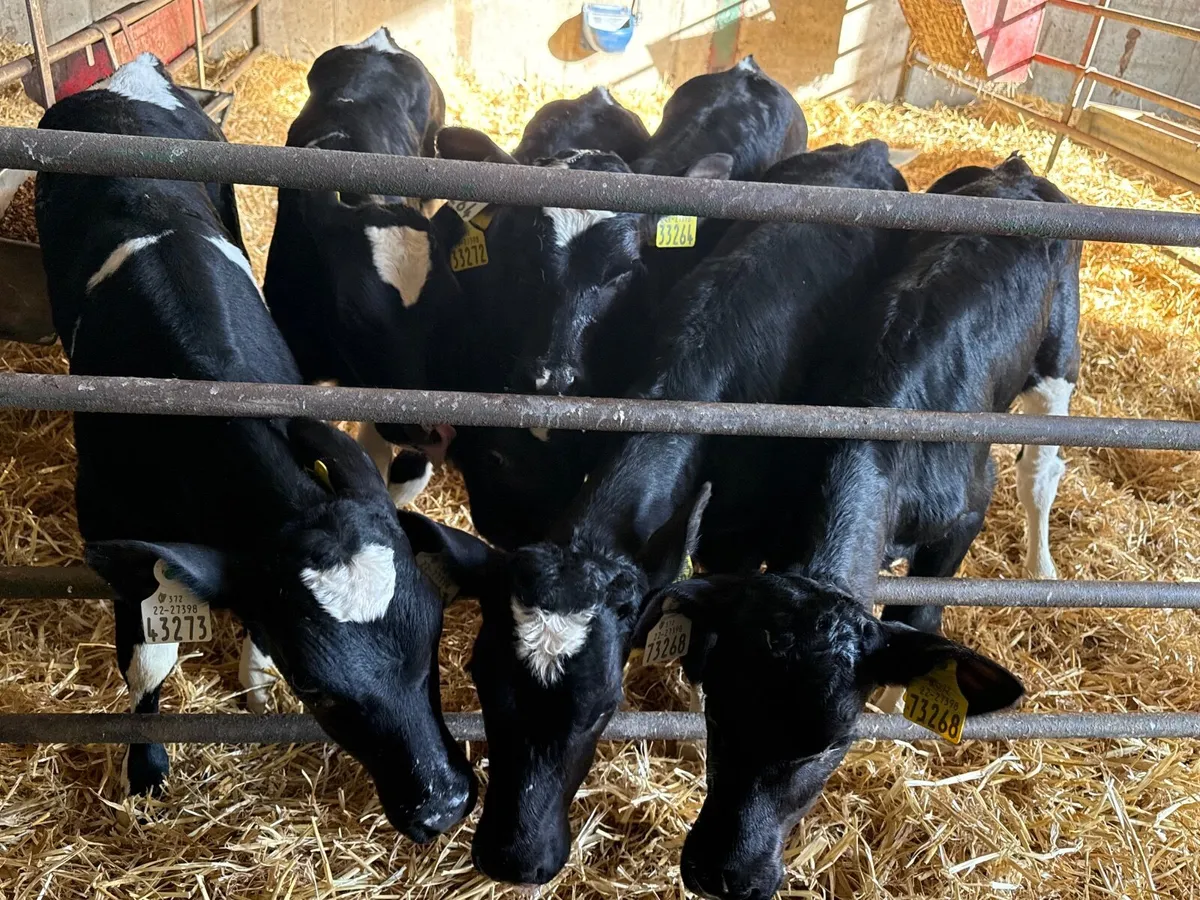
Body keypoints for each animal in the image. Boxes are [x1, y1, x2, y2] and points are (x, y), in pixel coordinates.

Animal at [637, 154, 1077, 900]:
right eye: (719, 711)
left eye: (831, 743)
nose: (724, 874)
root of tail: (1016, 172)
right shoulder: (743, 524)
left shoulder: (964, 513)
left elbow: (920, 624)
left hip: (1058, 363)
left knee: (1040, 469)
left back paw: (1042, 569)